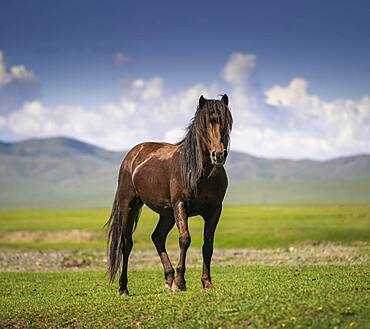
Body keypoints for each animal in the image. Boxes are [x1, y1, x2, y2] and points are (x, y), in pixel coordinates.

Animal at [105, 93, 233, 294]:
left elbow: (208, 245)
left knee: (157, 237)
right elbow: (185, 239)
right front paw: (181, 282)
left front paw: (206, 283)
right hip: (129, 205)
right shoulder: (180, 205)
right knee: (126, 244)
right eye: (205, 125)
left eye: (226, 123)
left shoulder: (214, 211)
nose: (218, 155)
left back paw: (168, 280)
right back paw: (123, 287)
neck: (199, 172)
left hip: (167, 214)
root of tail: (132, 155)